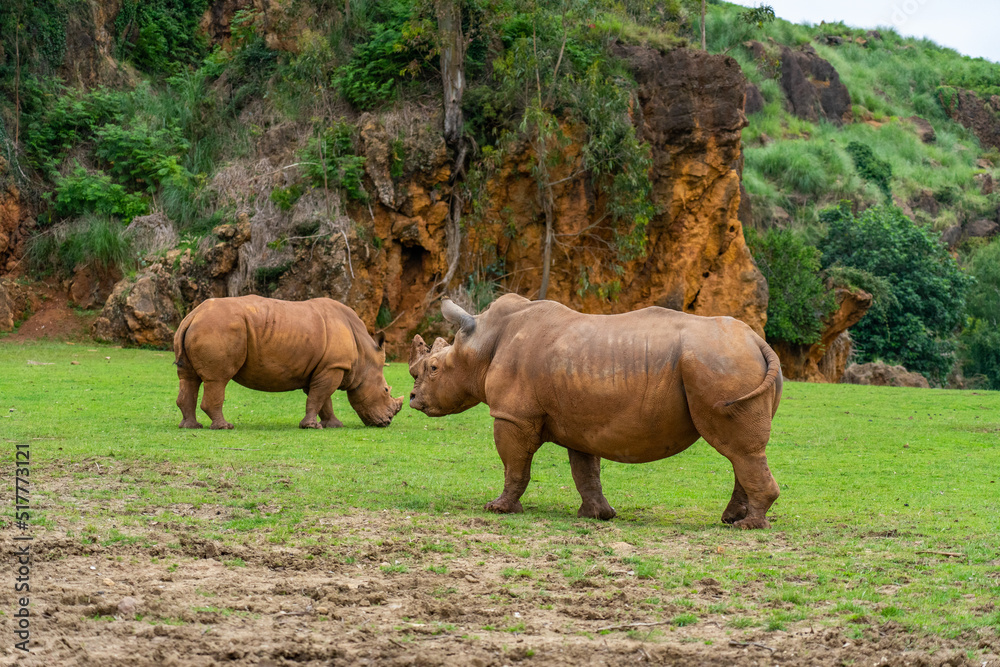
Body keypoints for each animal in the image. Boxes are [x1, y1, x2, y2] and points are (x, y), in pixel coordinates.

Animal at [174, 296, 403, 430]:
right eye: (385, 390)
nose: (387, 422)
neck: (363, 355)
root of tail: (194, 314)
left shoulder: (323, 367)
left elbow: (322, 399)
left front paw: (334, 425)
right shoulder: (334, 366)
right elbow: (319, 397)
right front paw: (312, 427)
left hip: (200, 326)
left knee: (189, 378)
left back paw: (190, 427)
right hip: (218, 326)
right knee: (218, 380)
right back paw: (224, 427)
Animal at [408, 294, 782, 529]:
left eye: (434, 369)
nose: (412, 398)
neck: (481, 342)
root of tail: (756, 341)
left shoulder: (513, 416)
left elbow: (514, 464)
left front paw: (498, 509)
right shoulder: (578, 420)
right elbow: (585, 471)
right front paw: (597, 515)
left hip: (721, 363)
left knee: (739, 449)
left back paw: (748, 526)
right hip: (733, 362)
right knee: (741, 451)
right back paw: (732, 520)